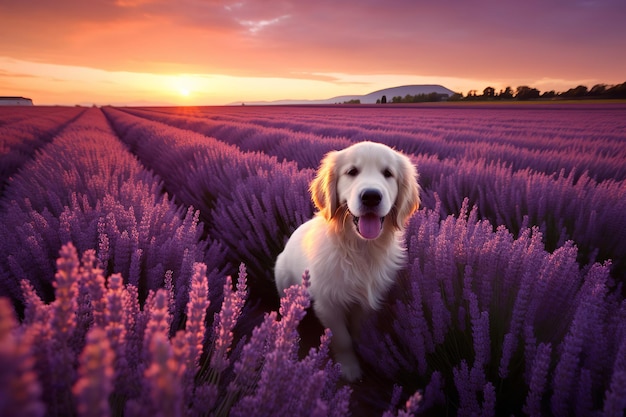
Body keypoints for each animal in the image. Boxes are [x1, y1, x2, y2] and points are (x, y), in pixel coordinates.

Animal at [274, 141, 416, 380]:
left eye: (388, 173)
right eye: (352, 172)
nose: (371, 196)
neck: (359, 249)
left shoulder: (365, 303)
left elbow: (357, 332)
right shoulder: (328, 304)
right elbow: (343, 339)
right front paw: (349, 367)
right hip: (283, 279)